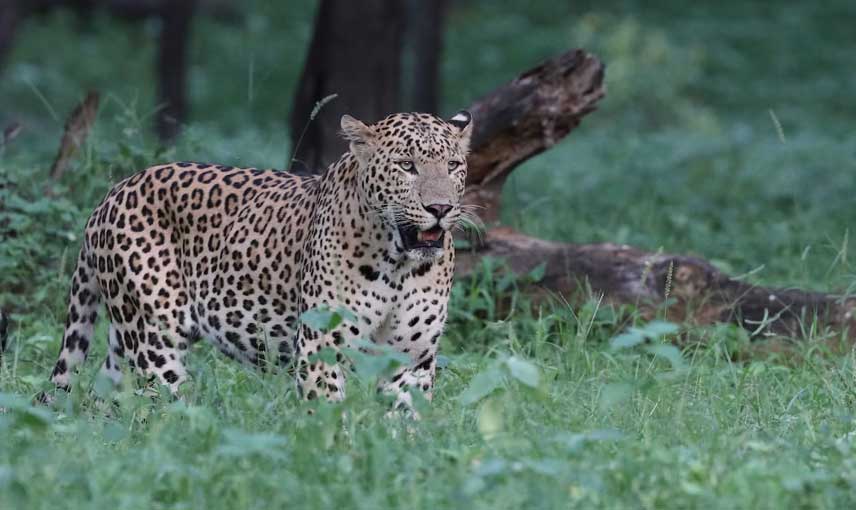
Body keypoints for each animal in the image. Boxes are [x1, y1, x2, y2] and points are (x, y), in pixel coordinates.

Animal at [45, 110, 474, 406]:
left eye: (453, 165)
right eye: (406, 166)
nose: (440, 208)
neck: (399, 266)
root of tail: (112, 192)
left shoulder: (412, 358)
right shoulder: (320, 345)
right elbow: (327, 418)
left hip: (125, 339)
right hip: (154, 336)